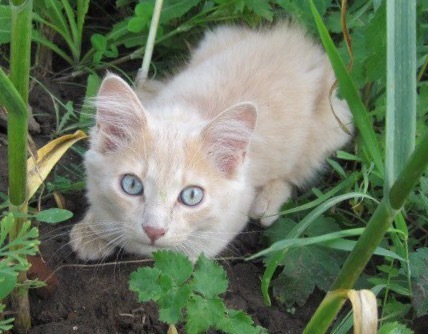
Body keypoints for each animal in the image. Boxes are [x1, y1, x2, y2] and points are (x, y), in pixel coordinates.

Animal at [69, 24, 352, 262]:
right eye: (131, 185)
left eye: (191, 196)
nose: (153, 230)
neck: (184, 114)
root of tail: (302, 42)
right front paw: (93, 230)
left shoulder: (230, 216)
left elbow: (185, 253)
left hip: (332, 125)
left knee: (294, 173)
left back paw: (267, 204)